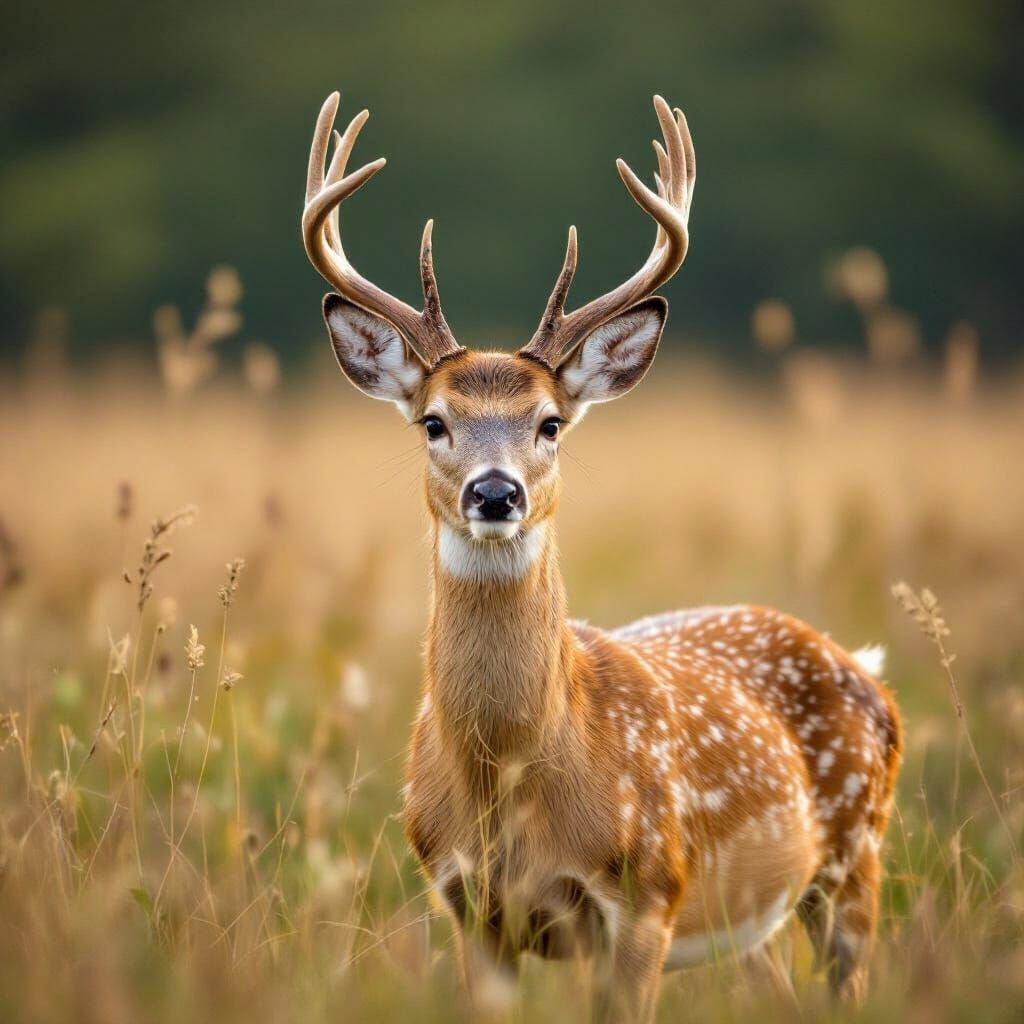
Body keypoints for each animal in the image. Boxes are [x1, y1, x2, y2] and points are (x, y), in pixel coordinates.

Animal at [301, 91, 902, 1022]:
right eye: (434, 421)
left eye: (550, 422)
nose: (495, 494)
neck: (513, 783)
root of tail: (863, 665)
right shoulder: (468, 907)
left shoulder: (646, 896)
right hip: (755, 921)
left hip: (853, 859)